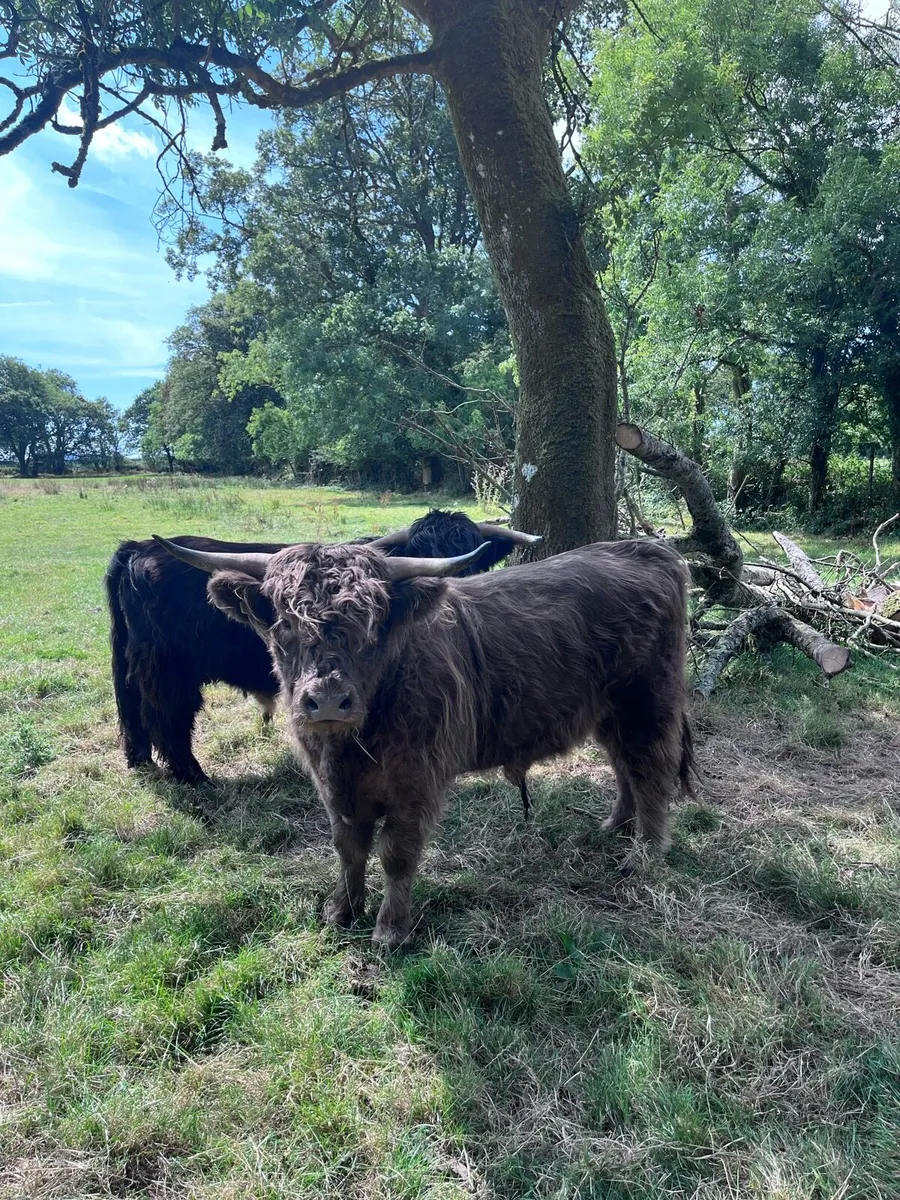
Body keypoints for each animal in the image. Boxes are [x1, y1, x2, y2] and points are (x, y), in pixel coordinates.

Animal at [105, 510, 537, 784]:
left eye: (472, 556)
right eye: (423, 551)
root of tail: (138, 548)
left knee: (133, 711)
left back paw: (141, 762)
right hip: (167, 670)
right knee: (167, 717)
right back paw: (195, 778)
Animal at [154, 534, 696, 949]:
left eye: (371, 626)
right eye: (284, 625)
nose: (327, 701)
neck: (353, 745)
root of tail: (650, 551)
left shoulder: (416, 780)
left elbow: (396, 853)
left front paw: (390, 930)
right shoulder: (333, 786)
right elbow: (348, 847)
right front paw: (341, 910)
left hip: (648, 700)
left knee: (652, 767)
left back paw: (644, 853)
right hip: (608, 711)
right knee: (625, 764)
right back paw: (613, 827)